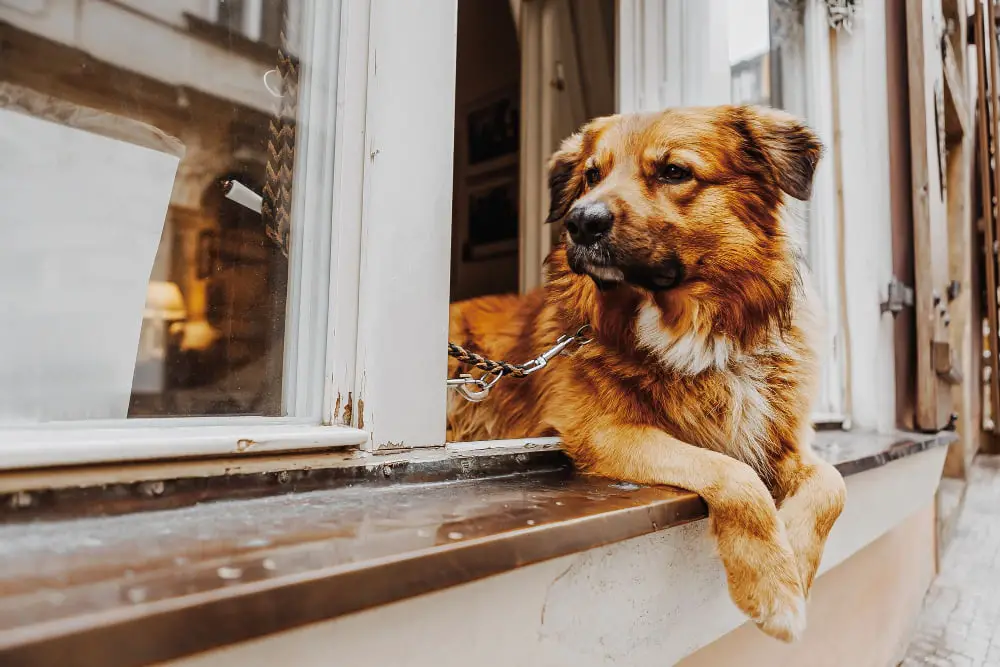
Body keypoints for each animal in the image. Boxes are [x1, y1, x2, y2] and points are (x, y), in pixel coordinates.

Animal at [450, 104, 848, 640]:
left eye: (674, 172)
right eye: (591, 176)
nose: (581, 222)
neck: (695, 331)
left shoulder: (784, 439)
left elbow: (832, 485)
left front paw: (797, 565)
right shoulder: (607, 433)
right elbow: (735, 474)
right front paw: (773, 587)